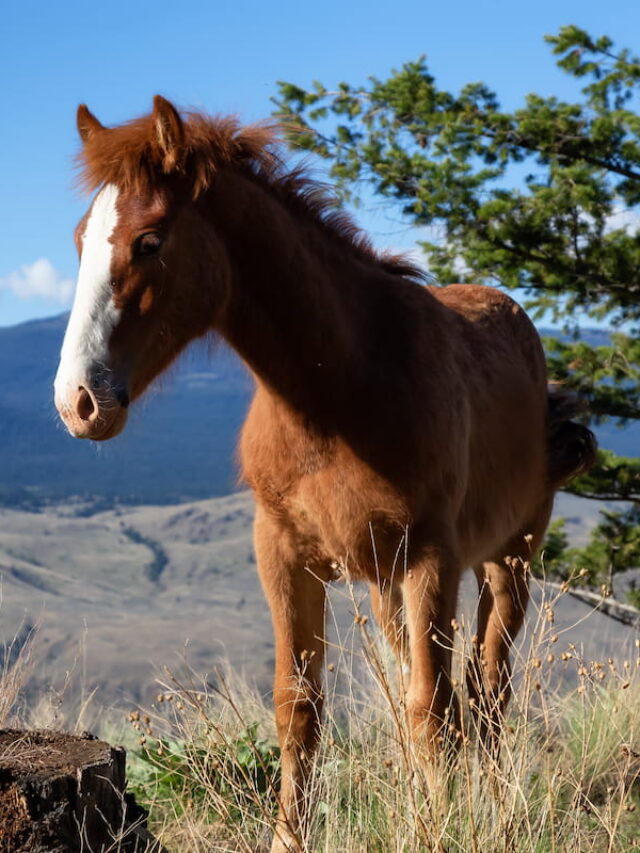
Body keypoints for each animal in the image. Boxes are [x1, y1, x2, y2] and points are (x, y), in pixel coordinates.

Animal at [54, 96, 595, 852]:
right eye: (81, 239)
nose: (77, 401)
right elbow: (301, 706)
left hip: (505, 561)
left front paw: (441, 829)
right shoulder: (284, 552)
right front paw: (293, 836)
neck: (341, 388)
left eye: (150, 241)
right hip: (385, 583)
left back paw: (496, 812)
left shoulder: (432, 557)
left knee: (486, 692)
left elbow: (432, 708)